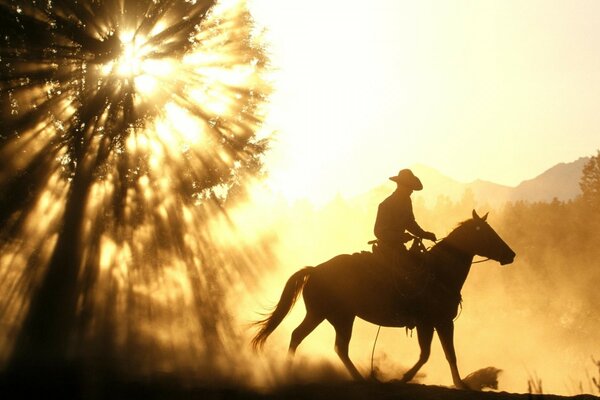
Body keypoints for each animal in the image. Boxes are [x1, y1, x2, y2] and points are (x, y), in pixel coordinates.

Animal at [251, 209, 516, 388]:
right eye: (487, 233)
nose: (511, 254)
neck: (439, 271)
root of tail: (315, 270)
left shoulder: (438, 323)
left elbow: (444, 354)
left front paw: (459, 383)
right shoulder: (432, 322)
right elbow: (432, 354)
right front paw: (405, 378)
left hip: (329, 316)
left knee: (313, 340)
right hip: (334, 316)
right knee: (327, 344)